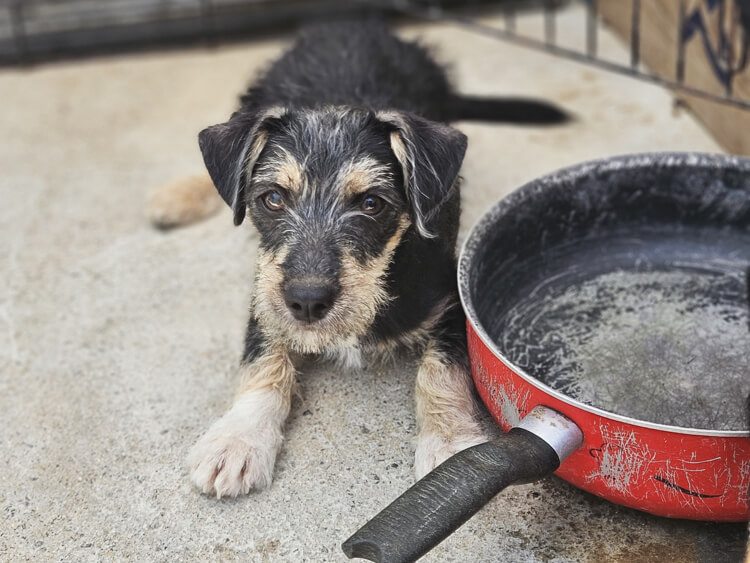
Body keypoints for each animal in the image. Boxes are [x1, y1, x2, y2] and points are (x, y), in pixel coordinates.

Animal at [157, 20, 568, 498]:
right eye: (272, 198)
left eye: (372, 204)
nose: (308, 301)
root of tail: (352, 24)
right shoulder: (266, 296)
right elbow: (262, 357)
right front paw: (238, 439)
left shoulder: (451, 302)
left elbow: (440, 369)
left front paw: (449, 444)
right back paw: (178, 196)